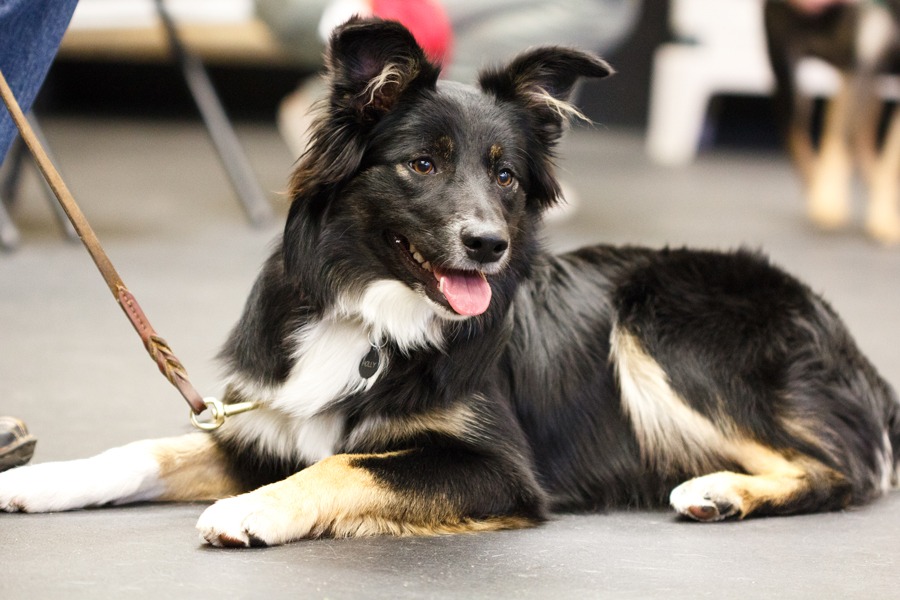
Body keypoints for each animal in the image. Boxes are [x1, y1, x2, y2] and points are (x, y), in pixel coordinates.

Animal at [0, 18, 896, 548]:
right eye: (422, 165)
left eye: (505, 177)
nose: (489, 246)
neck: (373, 318)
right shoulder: (272, 423)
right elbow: (152, 447)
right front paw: (39, 478)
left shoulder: (499, 468)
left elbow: (348, 466)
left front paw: (253, 508)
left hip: (662, 317)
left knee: (841, 472)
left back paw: (723, 492)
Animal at [768, 0, 900, 244]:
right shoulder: (866, 58)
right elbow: (840, 139)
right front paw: (827, 201)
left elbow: (891, 159)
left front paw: (884, 218)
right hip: (788, 73)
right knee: (798, 131)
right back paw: (818, 191)